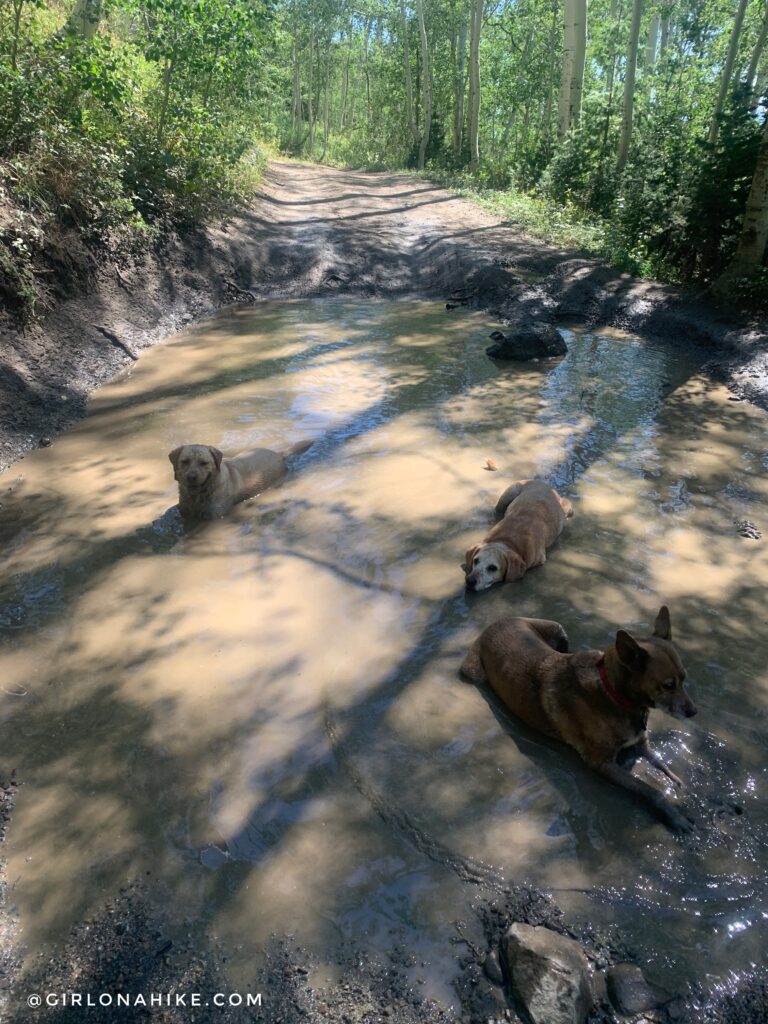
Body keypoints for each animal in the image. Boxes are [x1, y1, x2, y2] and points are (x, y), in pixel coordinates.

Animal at [169, 438, 313, 520]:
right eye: (185, 462)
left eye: (203, 463)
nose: (191, 477)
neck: (198, 498)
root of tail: (279, 454)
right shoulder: (186, 514)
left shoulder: (214, 516)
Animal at [460, 606, 700, 831]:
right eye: (667, 685)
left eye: (684, 678)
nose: (693, 712)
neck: (613, 693)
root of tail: (497, 622)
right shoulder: (602, 763)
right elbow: (650, 791)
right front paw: (675, 815)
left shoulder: (641, 743)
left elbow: (663, 765)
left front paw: (680, 786)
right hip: (474, 673)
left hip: (559, 631)